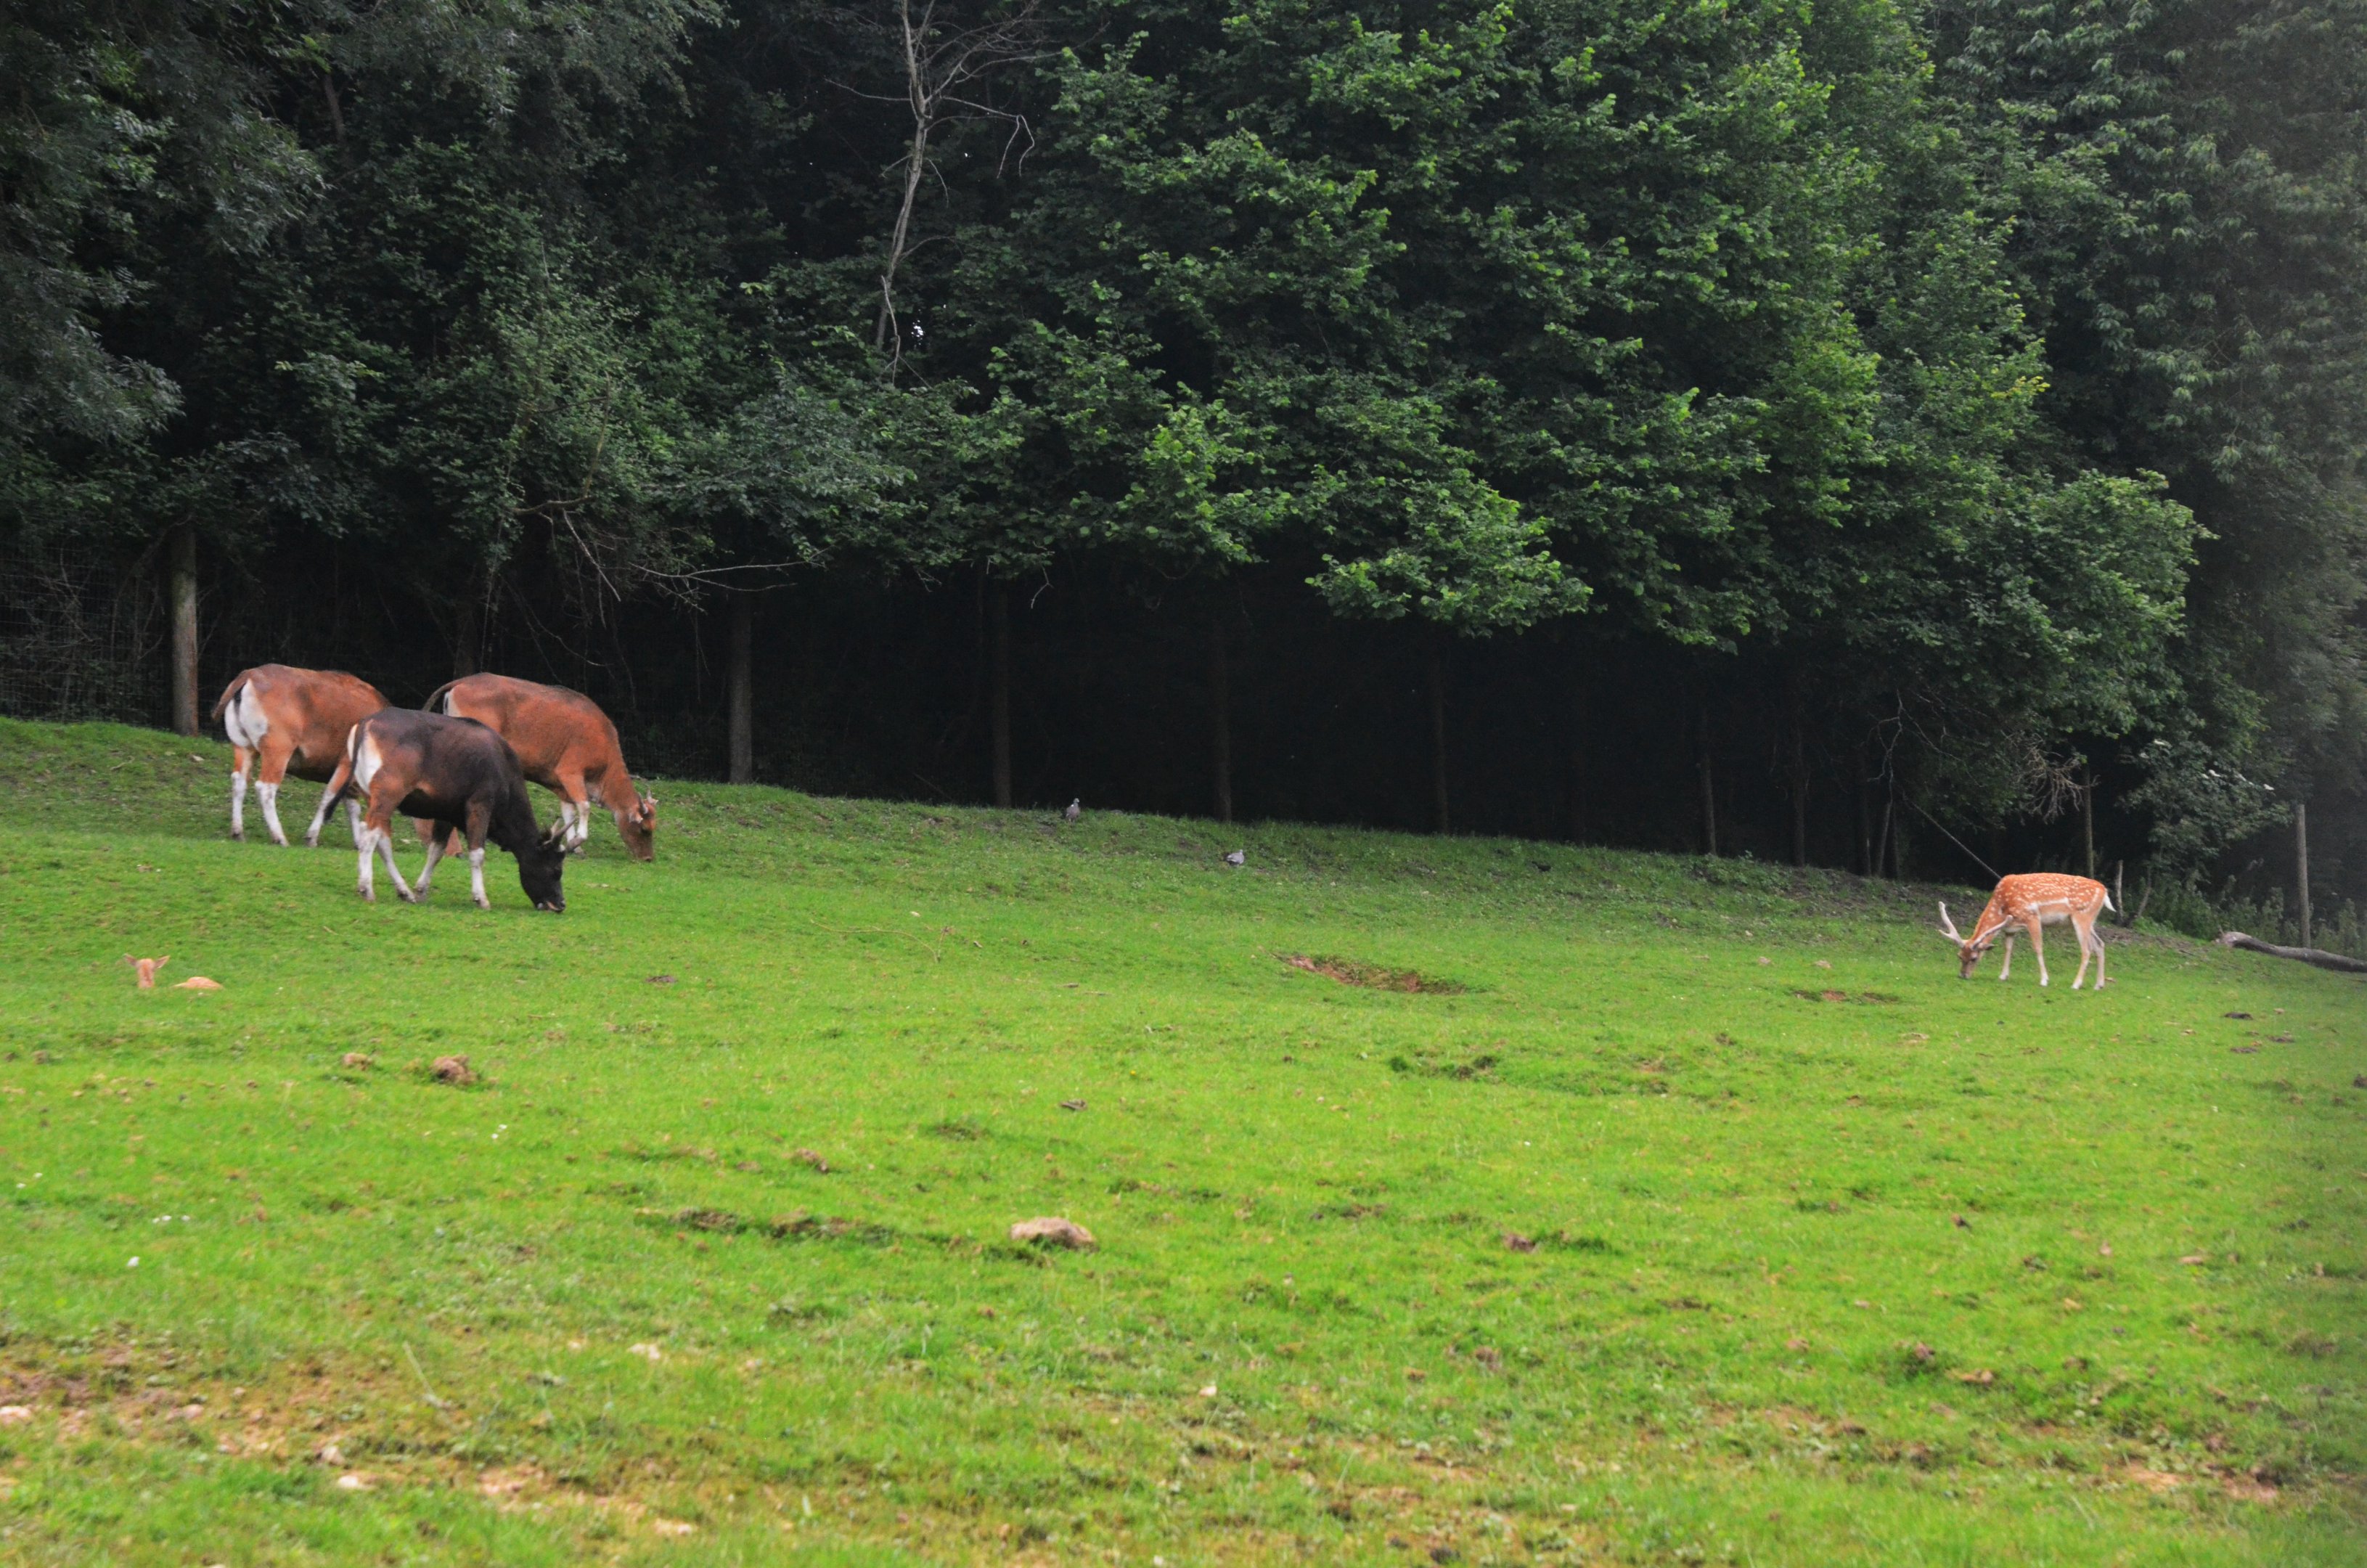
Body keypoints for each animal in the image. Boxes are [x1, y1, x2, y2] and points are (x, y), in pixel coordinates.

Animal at [1937, 873, 2115, 989]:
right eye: (1960, 956)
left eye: (1974, 958)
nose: (1963, 975)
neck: (2003, 906)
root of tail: (2104, 892)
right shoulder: (2010, 928)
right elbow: (2008, 948)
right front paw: (2003, 976)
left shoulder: (2032, 917)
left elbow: (2038, 948)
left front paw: (2044, 980)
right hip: (2088, 921)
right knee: (2100, 945)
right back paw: (2099, 985)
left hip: (2082, 916)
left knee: (2087, 949)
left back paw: (2076, 984)